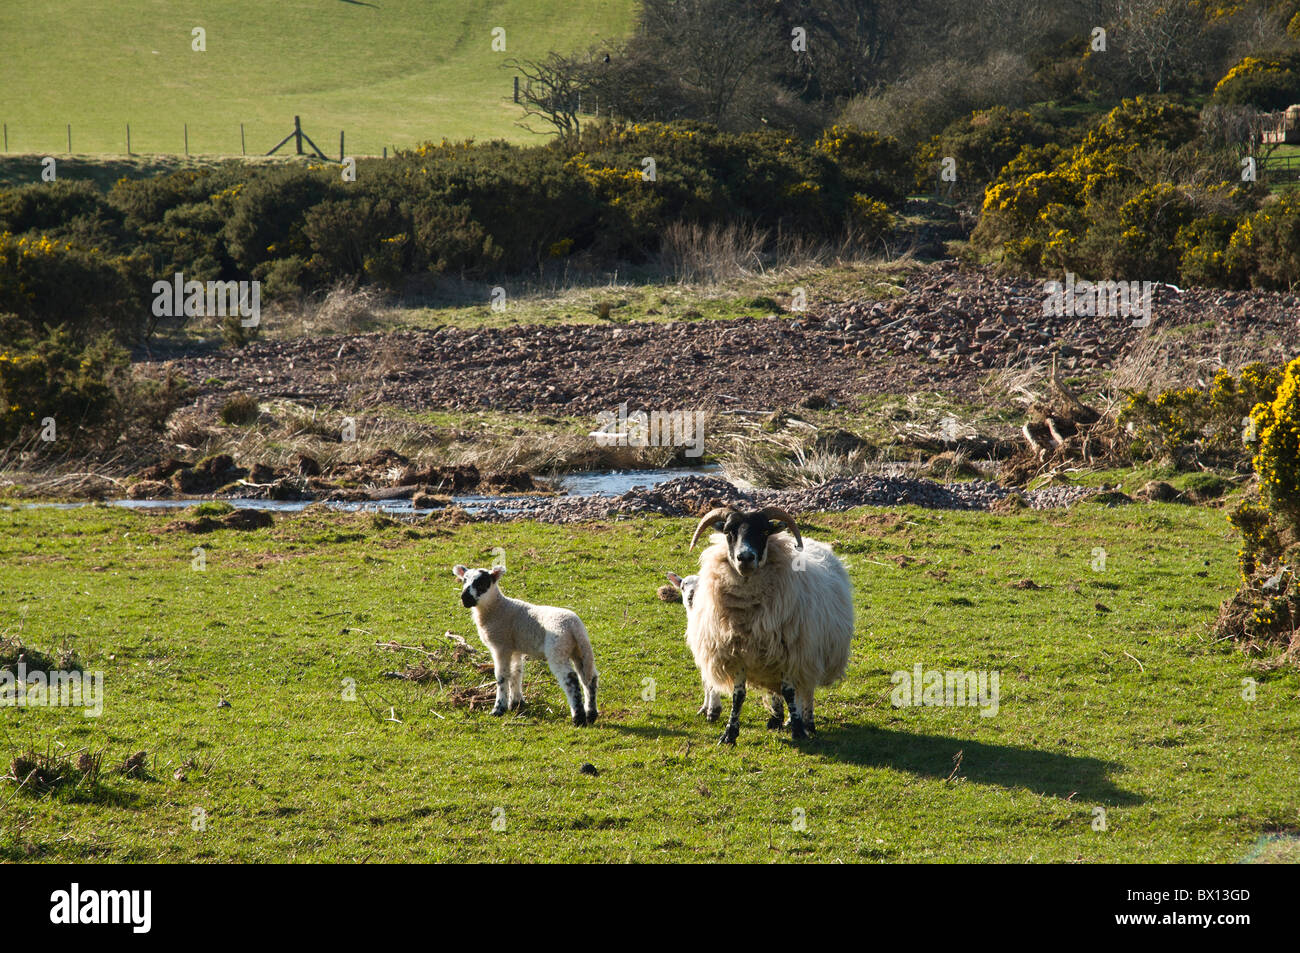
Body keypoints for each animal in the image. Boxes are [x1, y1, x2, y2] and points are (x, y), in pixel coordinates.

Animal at [452, 561, 598, 722]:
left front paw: (499, 708)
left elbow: (502, 676)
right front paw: (516, 702)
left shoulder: (501, 646)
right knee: (589, 677)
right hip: (580, 649)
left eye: (482, 582)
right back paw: (591, 714)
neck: (497, 608)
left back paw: (578, 718)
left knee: (571, 678)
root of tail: (573, 625)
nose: (465, 598)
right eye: (464, 580)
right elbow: (516, 672)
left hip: (557, 650)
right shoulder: (514, 648)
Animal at [686, 504, 857, 743]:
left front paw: (798, 730)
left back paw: (807, 721)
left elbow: (790, 692)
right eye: (729, 532)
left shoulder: (792, 652)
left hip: (811, 652)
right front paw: (730, 733)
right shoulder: (738, 653)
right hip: (771, 658)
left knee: (806, 689)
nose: (745, 557)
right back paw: (777, 718)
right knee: (777, 689)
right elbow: (739, 696)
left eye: (764, 531)